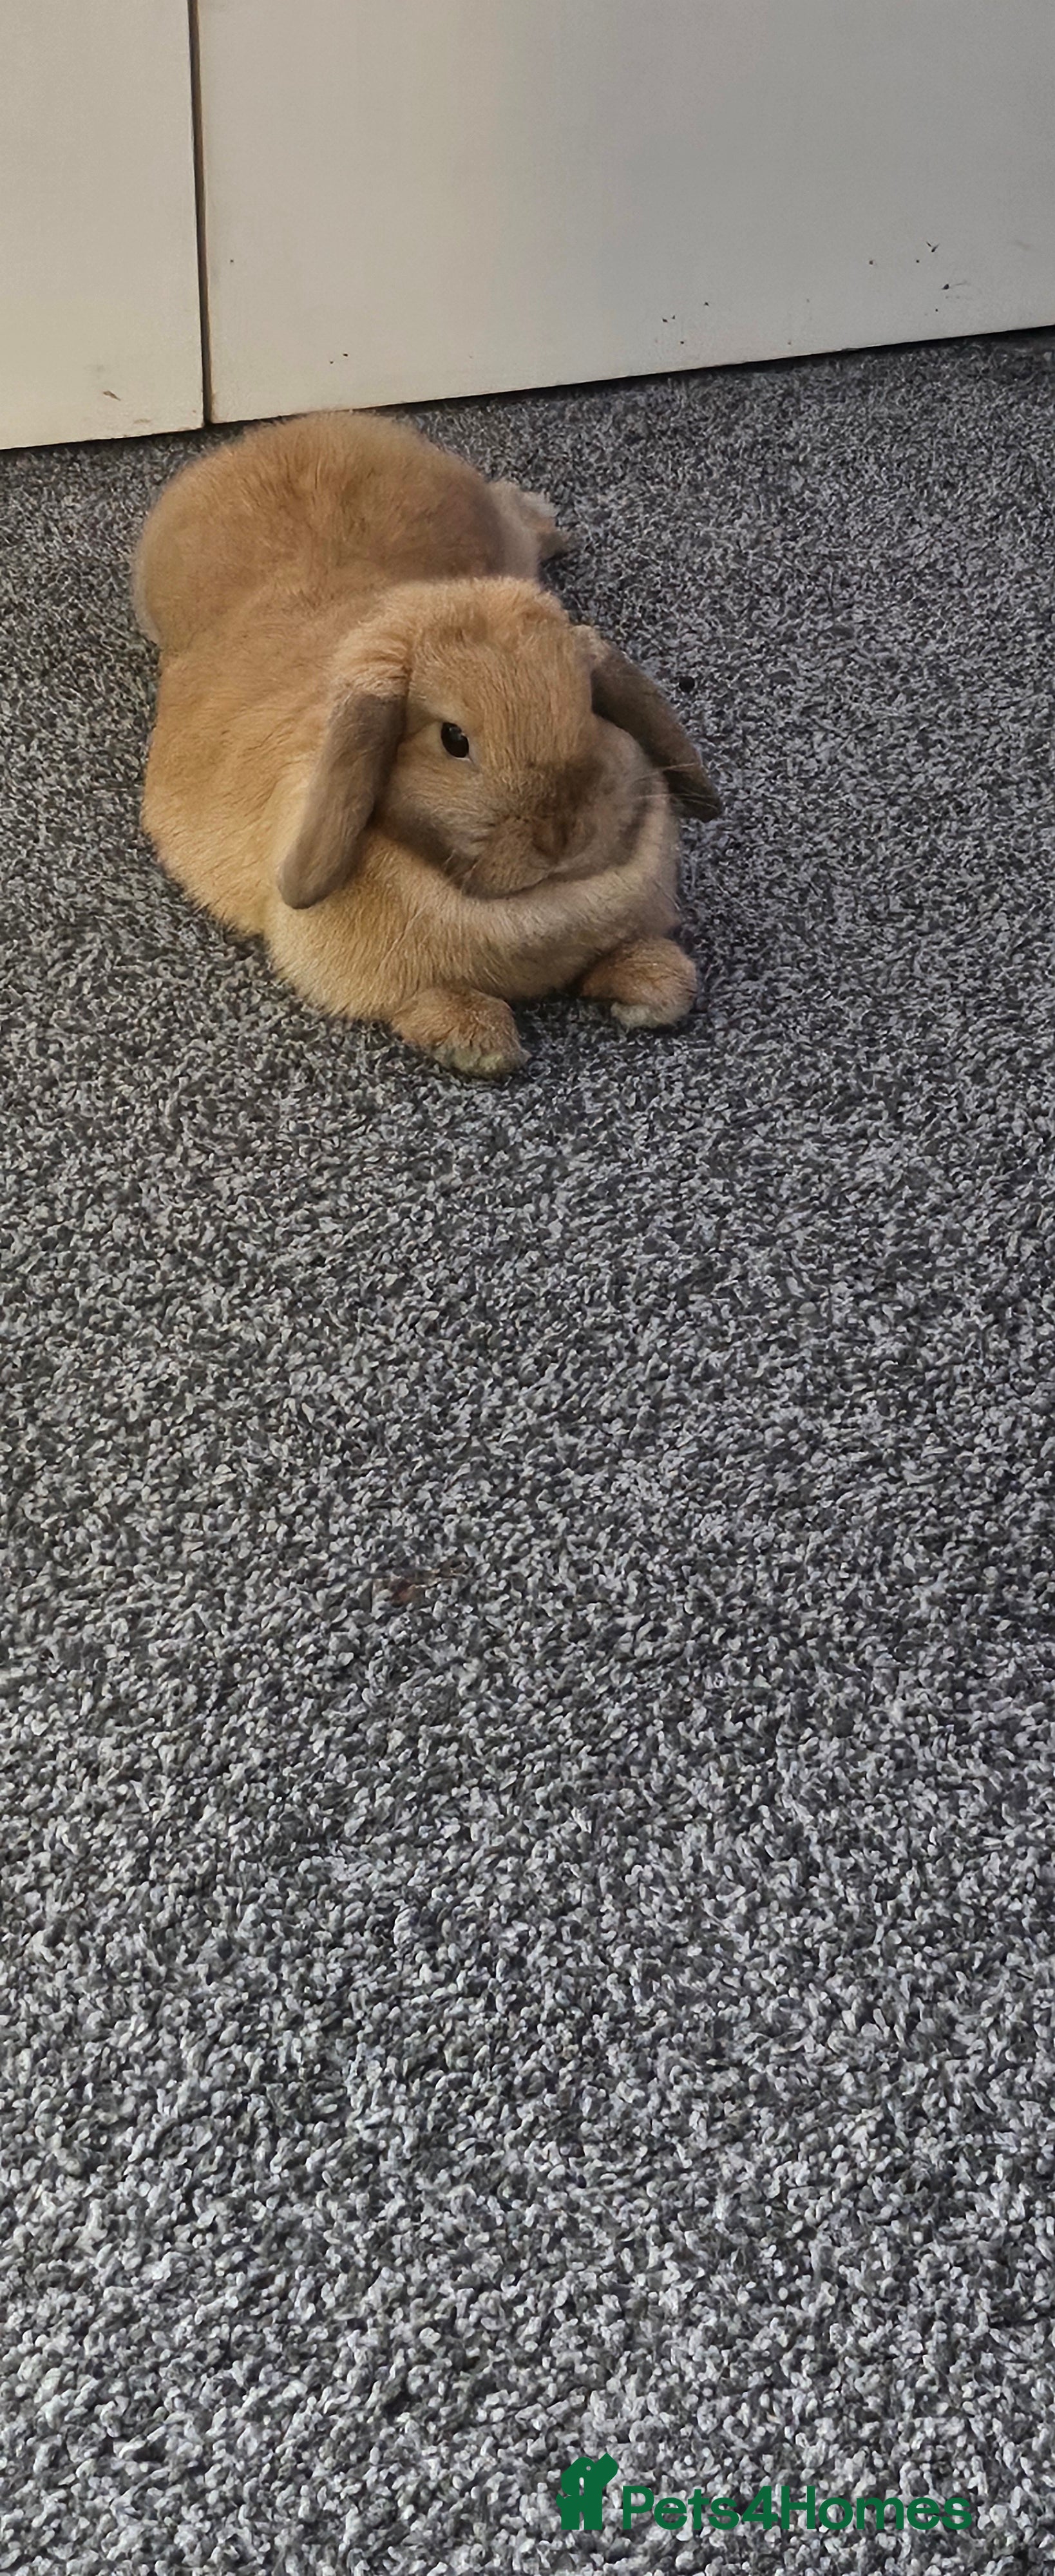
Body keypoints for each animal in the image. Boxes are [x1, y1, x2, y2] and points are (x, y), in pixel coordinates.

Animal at [134, 409, 720, 1077]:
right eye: (454, 739)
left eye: (589, 706)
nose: (561, 835)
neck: (540, 907)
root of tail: (292, 430)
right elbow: (428, 1001)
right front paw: (478, 1041)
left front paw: (652, 988)